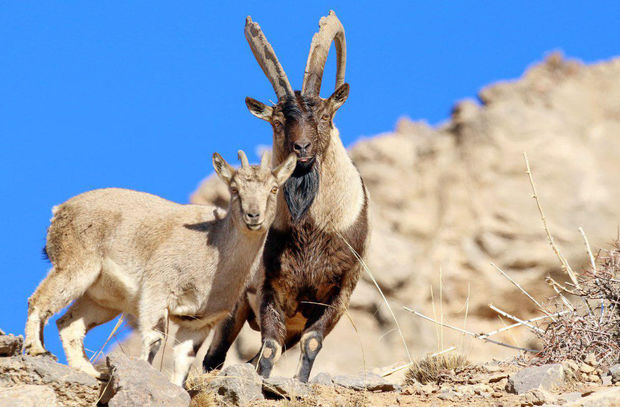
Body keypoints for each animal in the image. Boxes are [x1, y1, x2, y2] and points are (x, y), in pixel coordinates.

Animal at [27, 151, 300, 386]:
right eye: (234, 189)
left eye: (274, 188)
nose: (253, 216)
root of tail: (60, 210)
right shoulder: (157, 291)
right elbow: (155, 339)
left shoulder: (199, 322)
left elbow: (183, 362)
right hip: (75, 265)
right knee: (39, 300)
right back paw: (37, 350)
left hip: (103, 300)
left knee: (68, 324)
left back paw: (89, 372)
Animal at [202, 11, 368, 384]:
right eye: (278, 122)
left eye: (324, 115)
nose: (301, 149)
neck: (312, 230)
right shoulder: (271, 289)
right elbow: (269, 349)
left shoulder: (339, 294)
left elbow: (311, 344)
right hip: (234, 306)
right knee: (213, 358)